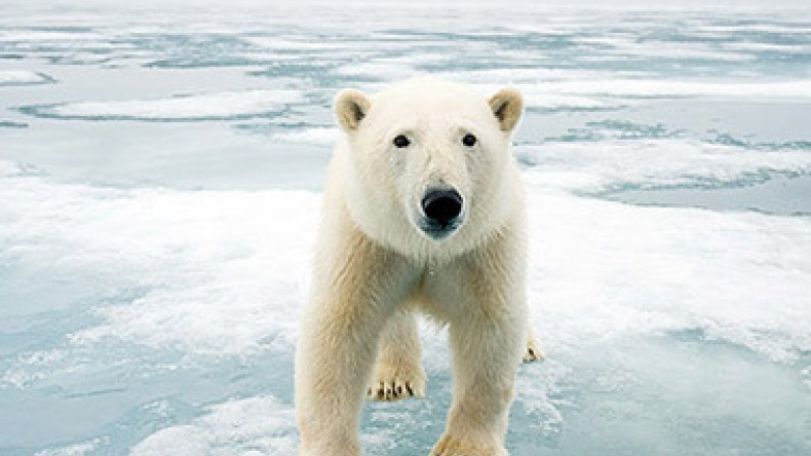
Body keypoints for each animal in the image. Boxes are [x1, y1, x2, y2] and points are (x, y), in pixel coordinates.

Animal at [295, 77, 541, 456]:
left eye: (469, 138)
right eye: (401, 139)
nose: (442, 202)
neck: (426, 247)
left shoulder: (483, 248)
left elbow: (489, 330)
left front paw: (464, 447)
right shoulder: (368, 242)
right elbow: (339, 330)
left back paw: (528, 346)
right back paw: (394, 378)